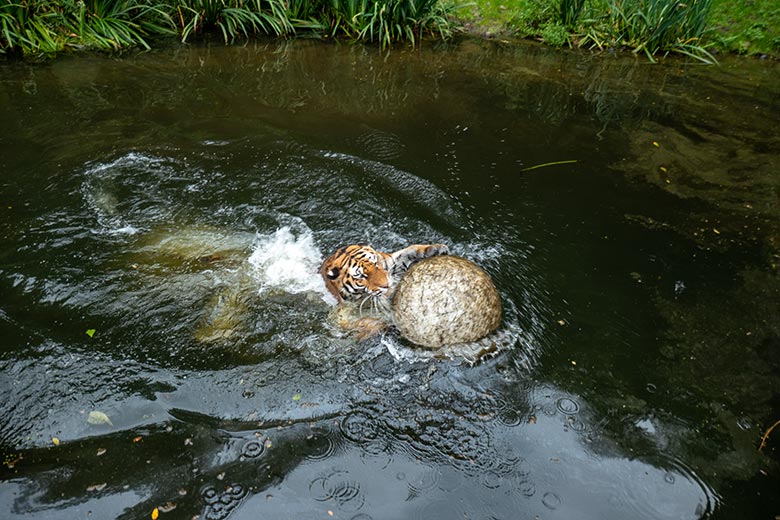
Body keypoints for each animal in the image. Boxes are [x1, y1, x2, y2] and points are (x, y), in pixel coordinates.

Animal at [318, 244, 450, 304]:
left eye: (376, 263)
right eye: (361, 276)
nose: (387, 285)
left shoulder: (391, 261)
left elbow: (409, 250)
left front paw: (435, 249)